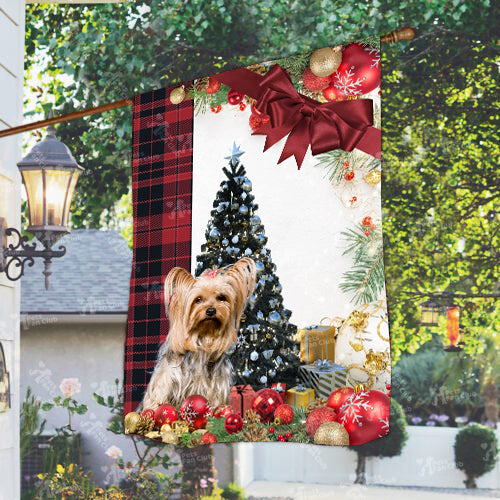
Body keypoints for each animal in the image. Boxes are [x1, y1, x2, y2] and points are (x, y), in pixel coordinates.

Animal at [142, 258, 256, 410]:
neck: (204, 336)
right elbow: (157, 398)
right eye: (198, 299)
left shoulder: (216, 387)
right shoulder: (165, 380)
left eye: (222, 297)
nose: (211, 311)